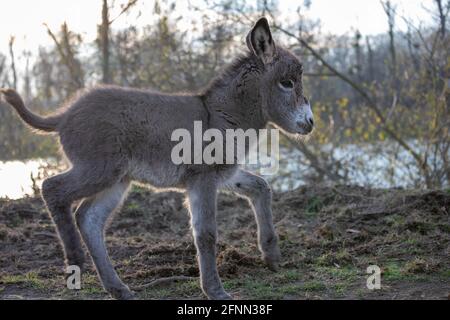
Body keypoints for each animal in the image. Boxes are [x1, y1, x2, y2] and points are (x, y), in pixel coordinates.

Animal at [0, 17, 312, 298]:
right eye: (287, 83)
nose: (310, 123)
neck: (221, 114)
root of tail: (65, 114)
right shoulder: (203, 179)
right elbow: (206, 234)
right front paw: (216, 291)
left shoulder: (224, 173)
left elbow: (261, 187)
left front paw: (271, 255)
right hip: (99, 170)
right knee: (52, 189)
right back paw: (75, 259)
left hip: (118, 180)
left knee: (89, 218)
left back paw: (118, 289)